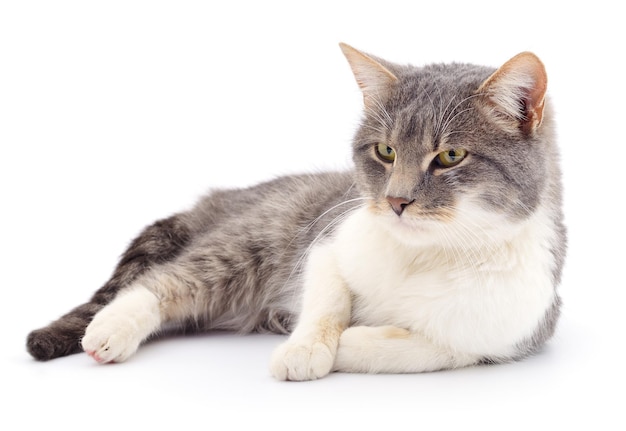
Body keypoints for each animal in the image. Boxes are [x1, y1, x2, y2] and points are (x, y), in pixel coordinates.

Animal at [26, 44, 564, 382]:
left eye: (450, 156)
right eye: (386, 151)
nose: (396, 201)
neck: (426, 253)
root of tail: (224, 197)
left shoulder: (501, 333)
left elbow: (425, 348)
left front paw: (349, 342)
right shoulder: (327, 243)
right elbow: (326, 302)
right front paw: (306, 347)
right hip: (247, 245)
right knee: (162, 283)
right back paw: (112, 328)